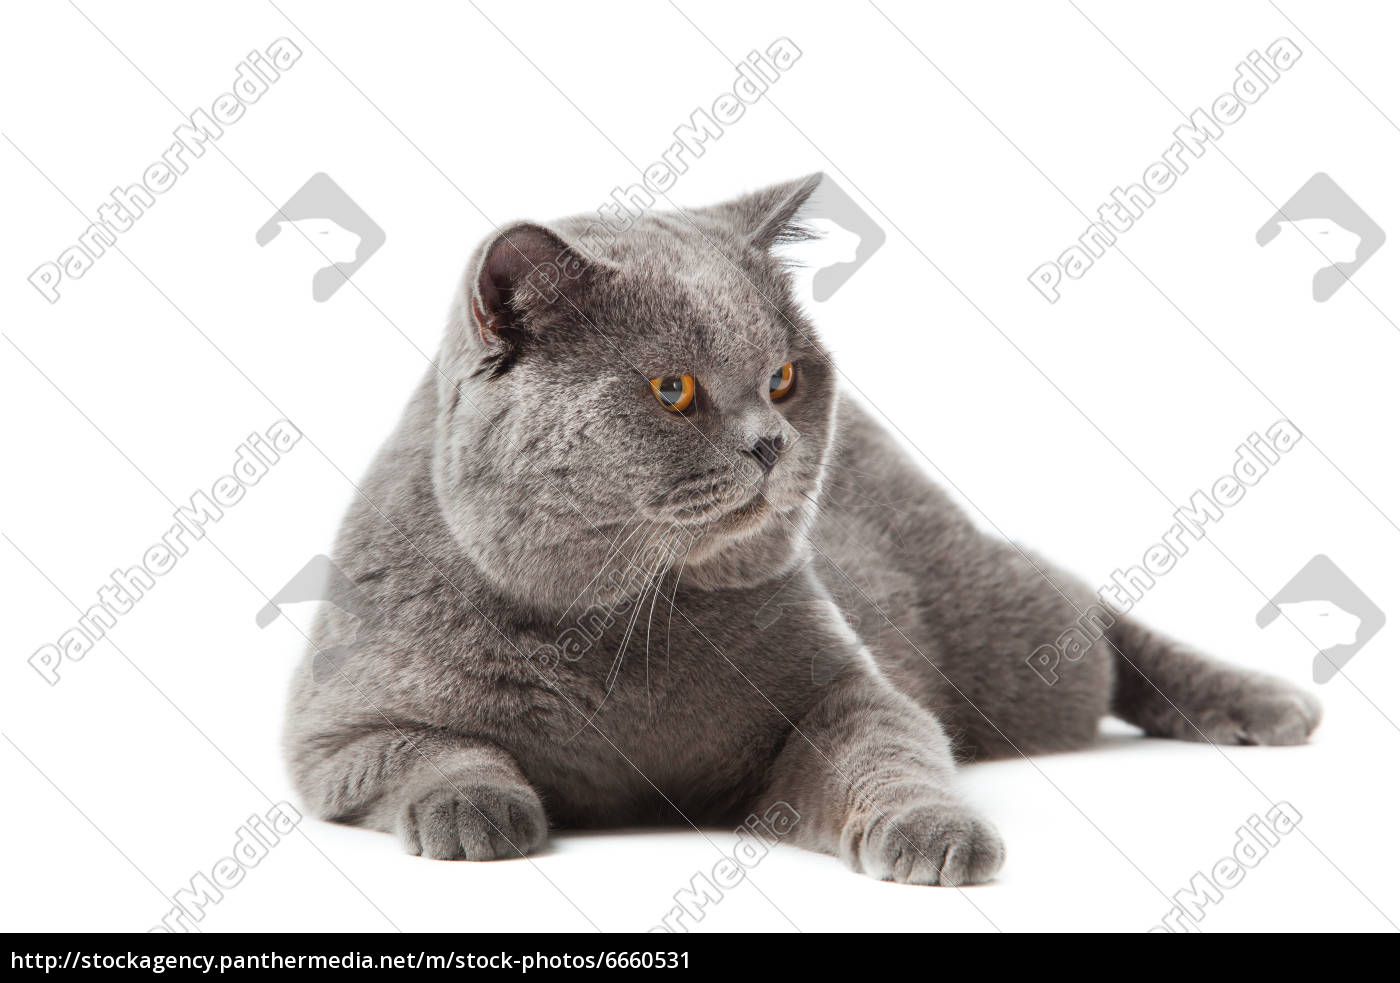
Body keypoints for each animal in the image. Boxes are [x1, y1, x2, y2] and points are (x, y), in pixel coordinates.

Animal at [284, 173, 1321, 890]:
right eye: (673, 389)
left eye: (782, 377)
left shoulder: (846, 690)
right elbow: (428, 749)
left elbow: (886, 749)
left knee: (1090, 616)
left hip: (1022, 658)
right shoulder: (333, 734)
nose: (770, 441)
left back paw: (1265, 702)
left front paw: (935, 833)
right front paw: (476, 809)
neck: (623, 623)